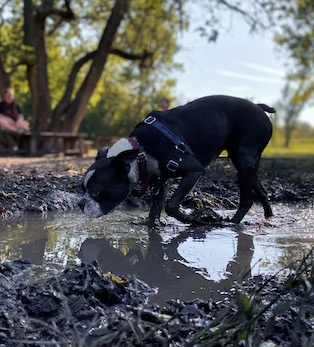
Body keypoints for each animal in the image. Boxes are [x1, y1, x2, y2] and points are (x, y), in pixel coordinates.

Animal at [79, 95, 274, 226]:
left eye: (96, 191)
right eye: (83, 189)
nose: (80, 204)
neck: (140, 152)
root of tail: (259, 107)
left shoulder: (194, 171)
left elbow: (171, 205)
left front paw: (192, 219)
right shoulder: (159, 181)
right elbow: (155, 208)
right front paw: (152, 226)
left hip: (244, 159)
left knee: (247, 200)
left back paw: (232, 223)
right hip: (243, 162)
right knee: (261, 190)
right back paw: (269, 215)